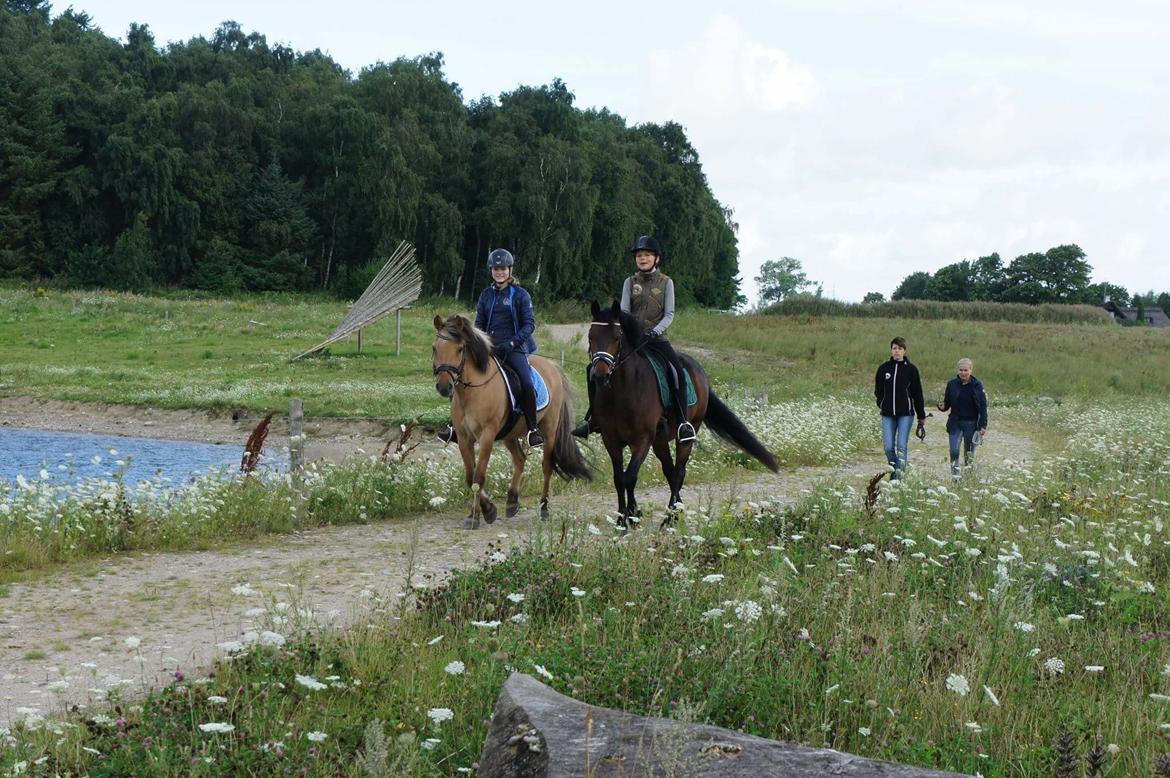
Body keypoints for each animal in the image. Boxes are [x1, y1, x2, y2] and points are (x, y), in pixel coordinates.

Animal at [432, 313, 594, 528]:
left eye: (459, 349)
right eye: (434, 348)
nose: (444, 387)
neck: (473, 391)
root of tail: (552, 366)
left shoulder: (487, 436)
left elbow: (479, 476)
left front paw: (485, 512)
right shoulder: (465, 439)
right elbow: (470, 476)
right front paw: (477, 513)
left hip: (549, 430)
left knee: (547, 466)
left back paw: (544, 508)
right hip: (509, 434)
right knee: (520, 459)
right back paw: (512, 502)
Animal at [585, 299, 776, 524]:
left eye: (616, 337)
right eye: (591, 336)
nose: (600, 376)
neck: (622, 390)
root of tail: (698, 370)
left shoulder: (642, 439)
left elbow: (630, 477)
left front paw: (631, 517)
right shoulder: (611, 439)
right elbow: (619, 478)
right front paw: (624, 518)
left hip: (686, 433)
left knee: (679, 472)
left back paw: (671, 517)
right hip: (660, 440)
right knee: (669, 471)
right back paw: (677, 509)